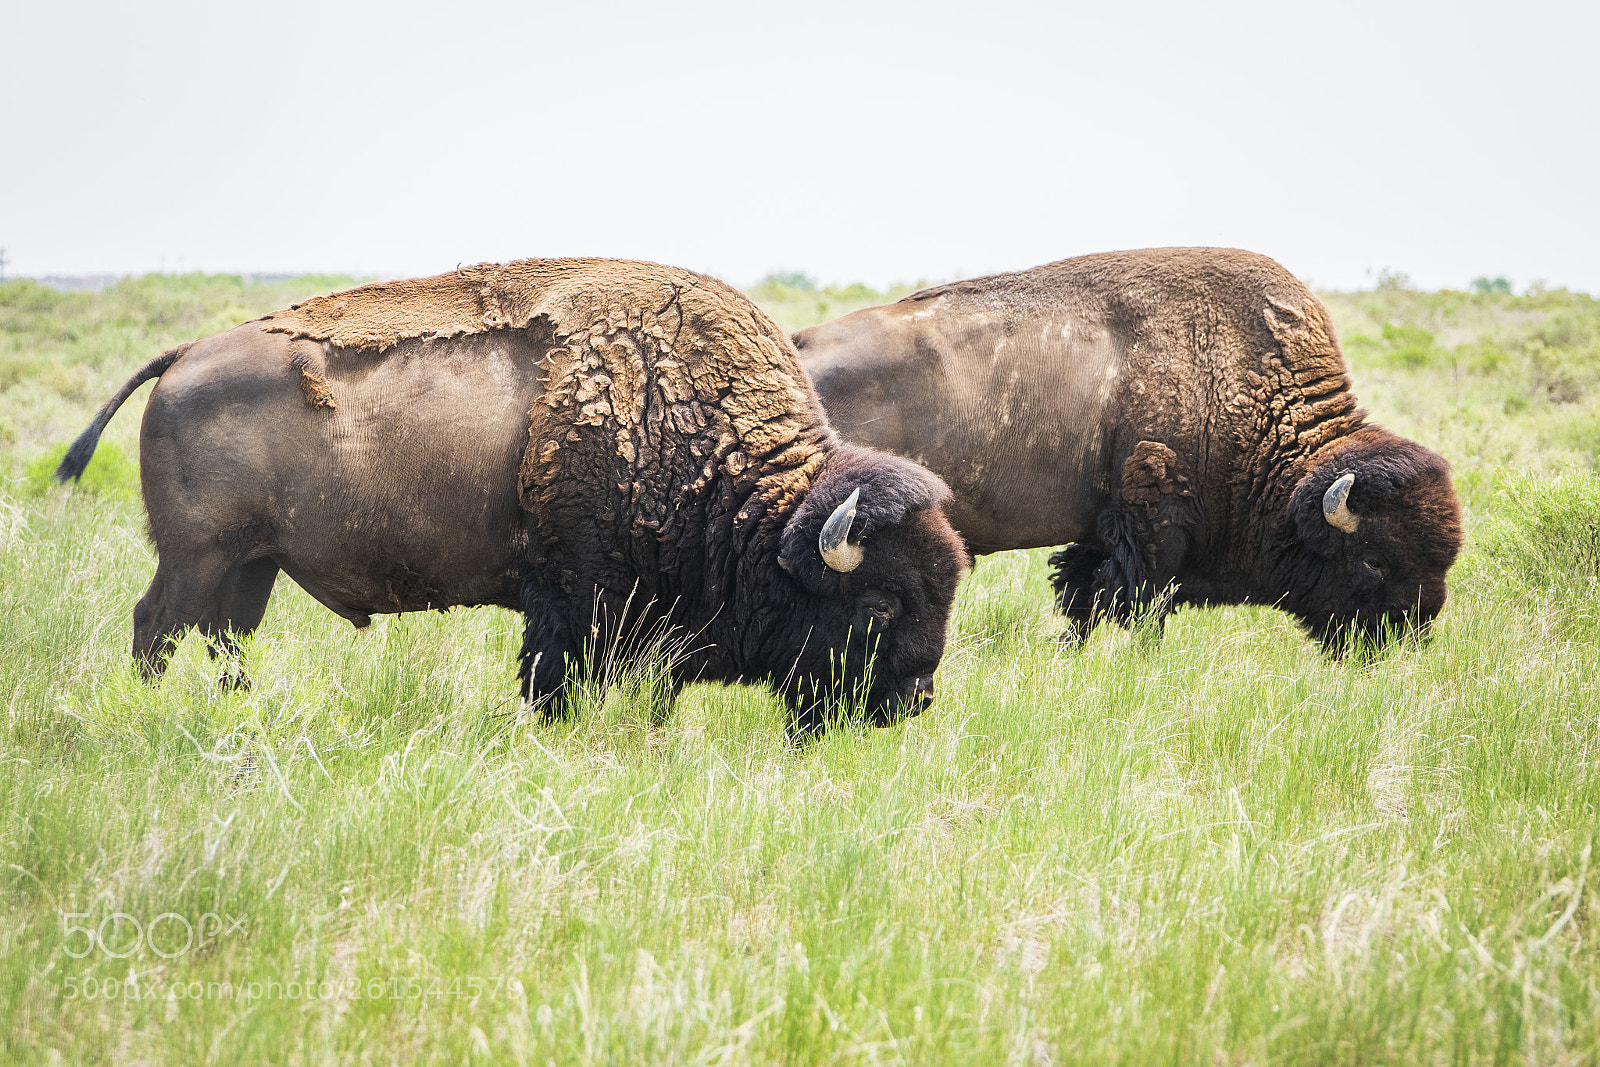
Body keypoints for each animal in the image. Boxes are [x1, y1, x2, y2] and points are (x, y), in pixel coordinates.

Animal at [59, 259, 969, 736]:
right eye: (880, 604)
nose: (915, 700)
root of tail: (182, 356)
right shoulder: (571, 600)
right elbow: (553, 678)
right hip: (197, 557)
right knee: (156, 627)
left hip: (252, 565)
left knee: (224, 639)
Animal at [794, 248, 1463, 649]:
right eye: (1373, 560)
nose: (1405, 637)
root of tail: (800, 346)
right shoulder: (1152, 526)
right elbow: (1138, 604)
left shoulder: (1102, 531)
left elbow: (1084, 596)